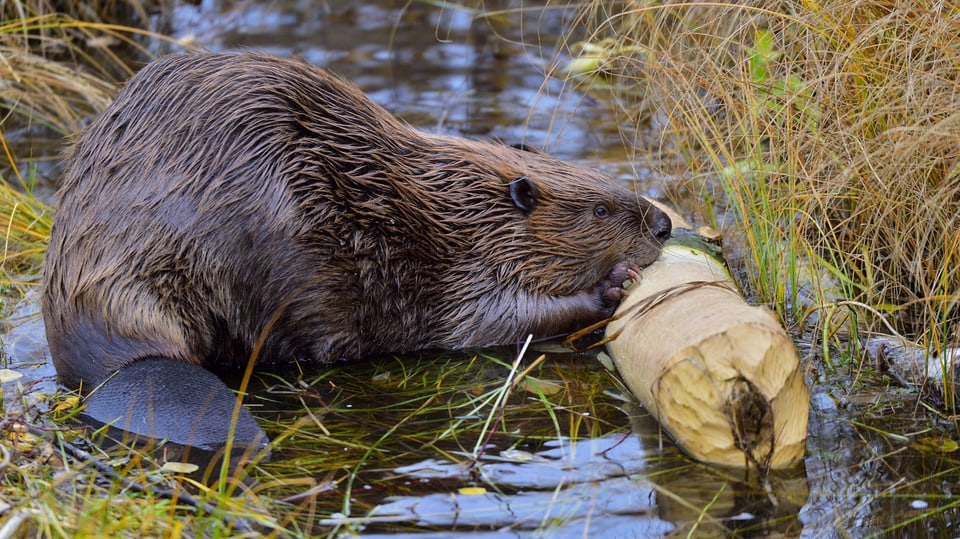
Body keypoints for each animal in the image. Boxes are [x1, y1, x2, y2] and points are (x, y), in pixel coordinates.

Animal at [41, 53, 672, 452]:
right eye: (601, 211)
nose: (665, 223)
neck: (457, 209)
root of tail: (125, 361)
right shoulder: (459, 274)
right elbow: (495, 322)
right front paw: (615, 284)